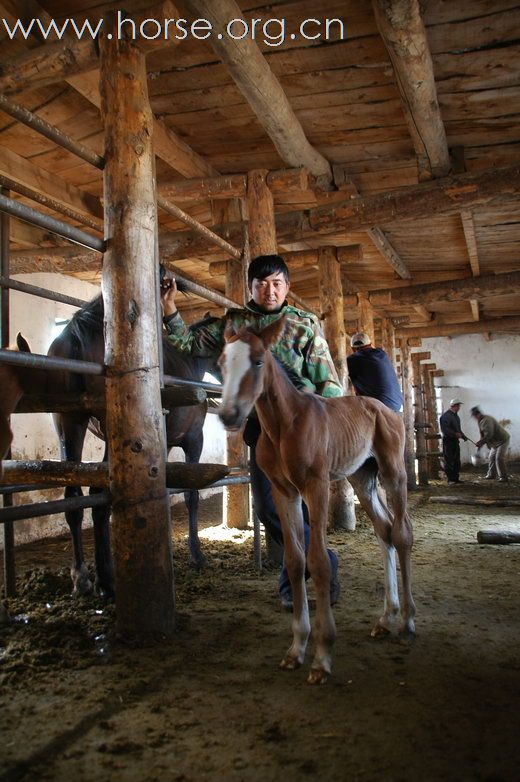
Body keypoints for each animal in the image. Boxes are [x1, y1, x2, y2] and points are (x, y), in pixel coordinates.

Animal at [215, 316, 414, 688]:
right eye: (221, 362)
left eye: (258, 361)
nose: (228, 415)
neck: (283, 425)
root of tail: (382, 408)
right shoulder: (285, 492)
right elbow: (295, 561)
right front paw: (296, 649)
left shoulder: (316, 487)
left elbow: (319, 561)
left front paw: (322, 655)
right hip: (362, 478)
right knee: (384, 532)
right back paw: (385, 618)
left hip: (393, 472)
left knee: (403, 534)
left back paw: (407, 622)